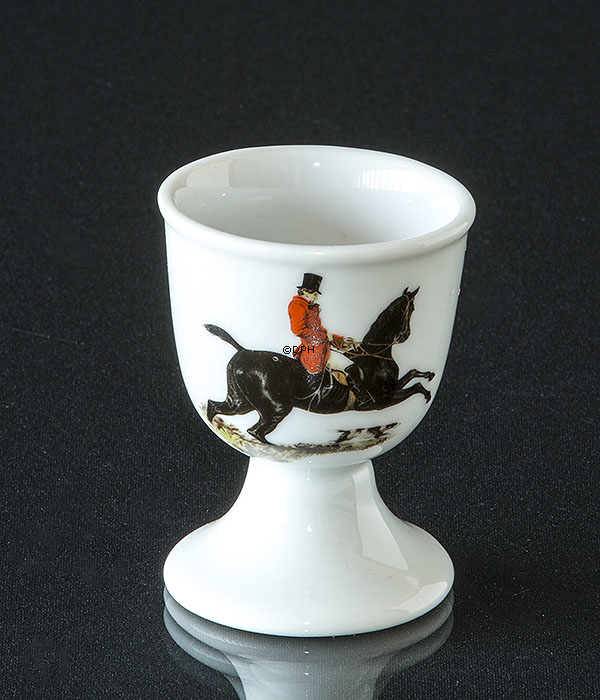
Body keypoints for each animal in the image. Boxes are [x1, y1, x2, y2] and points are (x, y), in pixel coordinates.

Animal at [205, 288, 434, 443]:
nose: (405, 336)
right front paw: (426, 393)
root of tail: (243, 350)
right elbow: (414, 387)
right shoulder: (382, 400)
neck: (376, 355)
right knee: (256, 431)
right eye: (411, 309)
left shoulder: (392, 387)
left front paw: (428, 375)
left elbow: (412, 373)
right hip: (277, 407)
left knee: (214, 406)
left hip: (241, 402)